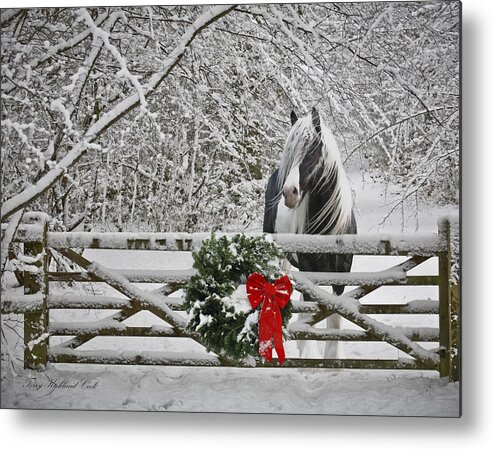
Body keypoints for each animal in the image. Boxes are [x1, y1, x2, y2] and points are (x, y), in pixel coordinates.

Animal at [264, 107, 356, 356]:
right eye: (290, 152)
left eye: (312, 150)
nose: (289, 192)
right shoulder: (309, 269)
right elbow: (311, 314)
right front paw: (309, 356)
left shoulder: (341, 275)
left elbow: (333, 318)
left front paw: (333, 357)